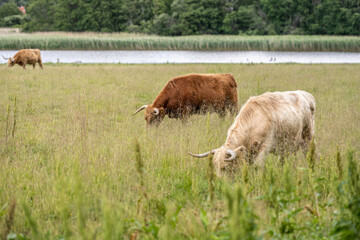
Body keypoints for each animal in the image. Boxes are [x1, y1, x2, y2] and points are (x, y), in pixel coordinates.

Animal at [188, 91, 316, 175]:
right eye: (215, 167)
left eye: (225, 168)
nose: (220, 185)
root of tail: (306, 95)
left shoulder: (265, 146)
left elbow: (257, 165)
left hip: (307, 137)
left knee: (308, 154)